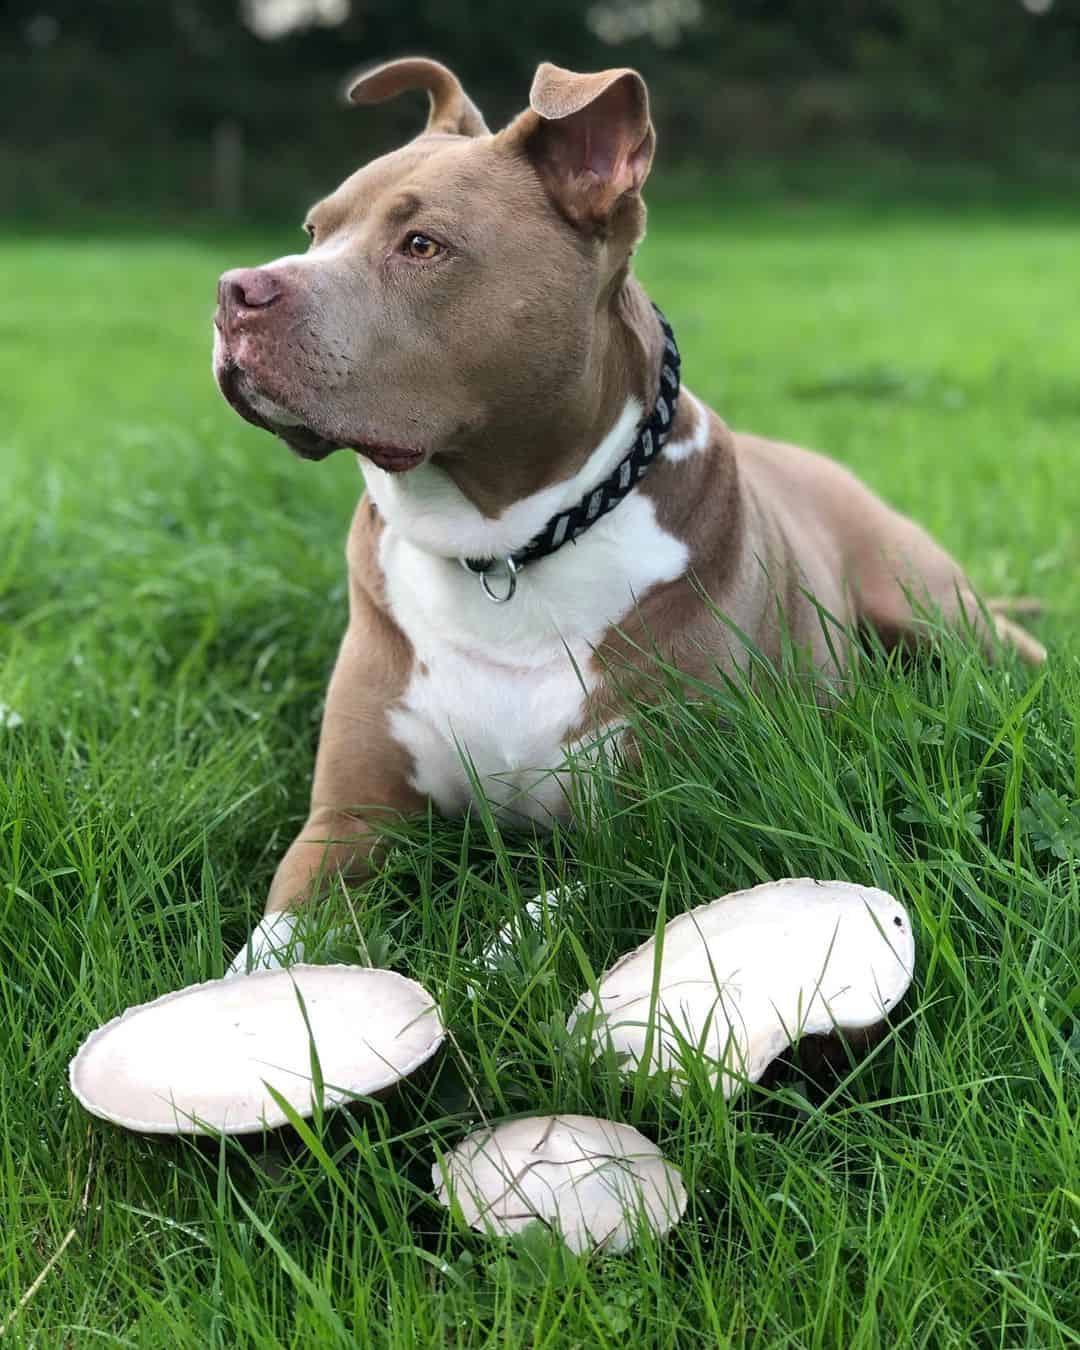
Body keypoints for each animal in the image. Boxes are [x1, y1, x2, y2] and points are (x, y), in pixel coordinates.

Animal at [213, 60, 1047, 972]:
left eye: (423, 245)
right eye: (315, 228)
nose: (235, 292)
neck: (506, 549)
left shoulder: (654, 831)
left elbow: (540, 922)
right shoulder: (345, 824)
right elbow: (275, 945)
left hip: (936, 612)